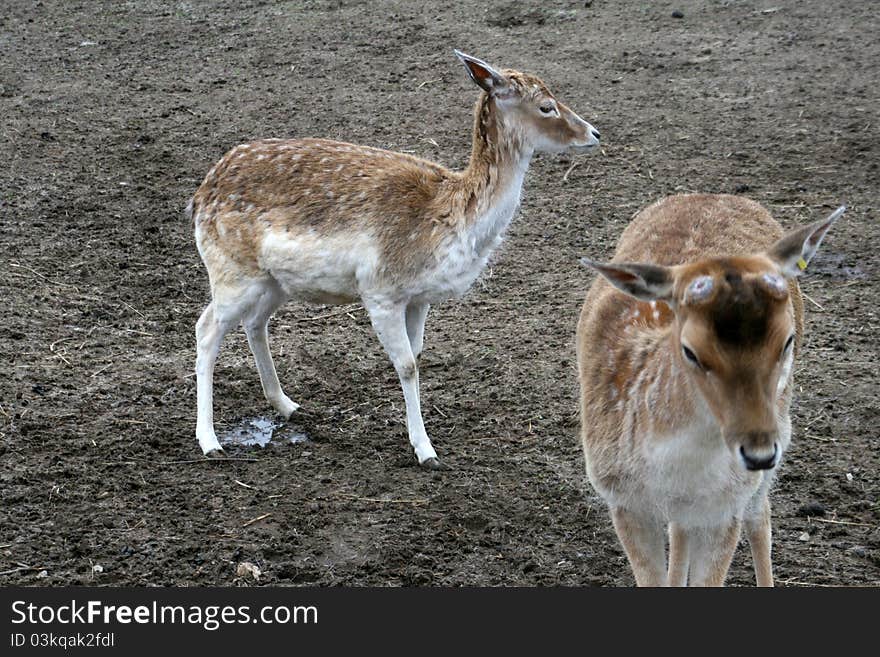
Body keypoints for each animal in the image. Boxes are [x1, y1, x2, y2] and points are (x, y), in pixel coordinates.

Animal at [191, 52, 604, 472]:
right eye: (546, 106)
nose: (594, 133)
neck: (450, 222)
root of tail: (202, 193)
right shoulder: (380, 291)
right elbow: (406, 364)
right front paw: (426, 451)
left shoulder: (418, 298)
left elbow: (417, 356)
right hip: (231, 270)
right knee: (206, 328)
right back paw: (210, 441)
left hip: (275, 281)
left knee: (254, 322)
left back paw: (289, 405)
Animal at [576, 193, 844, 584]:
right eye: (690, 351)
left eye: (787, 340)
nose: (759, 453)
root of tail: (715, 195)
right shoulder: (622, 499)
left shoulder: (724, 507)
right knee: (682, 528)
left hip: (778, 435)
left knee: (759, 515)